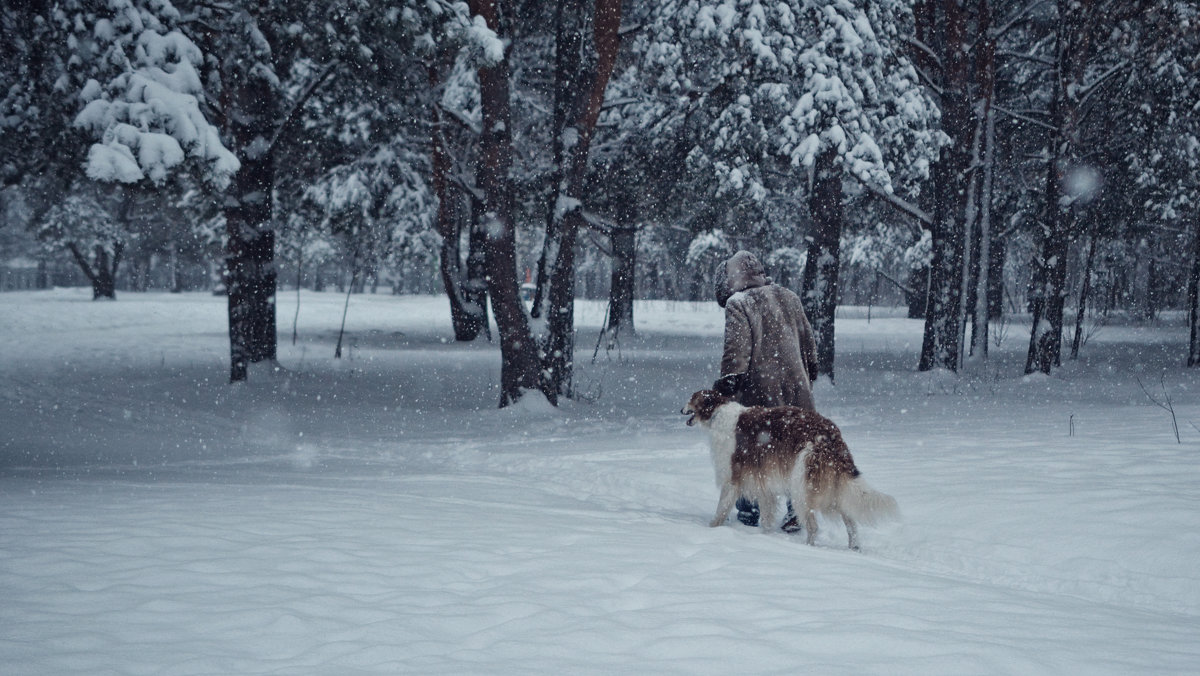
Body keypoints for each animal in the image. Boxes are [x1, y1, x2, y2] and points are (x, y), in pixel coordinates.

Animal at [686, 389, 902, 552]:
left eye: (691, 399)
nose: (681, 409)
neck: (717, 414)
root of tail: (833, 436)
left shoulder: (731, 479)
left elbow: (721, 509)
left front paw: (712, 529)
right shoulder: (764, 484)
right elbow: (766, 517)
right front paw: (766, 537)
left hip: (802, 487)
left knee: (813, 526)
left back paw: (808, 548)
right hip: (833, 486)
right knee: (850, 521)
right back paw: (854, 548)